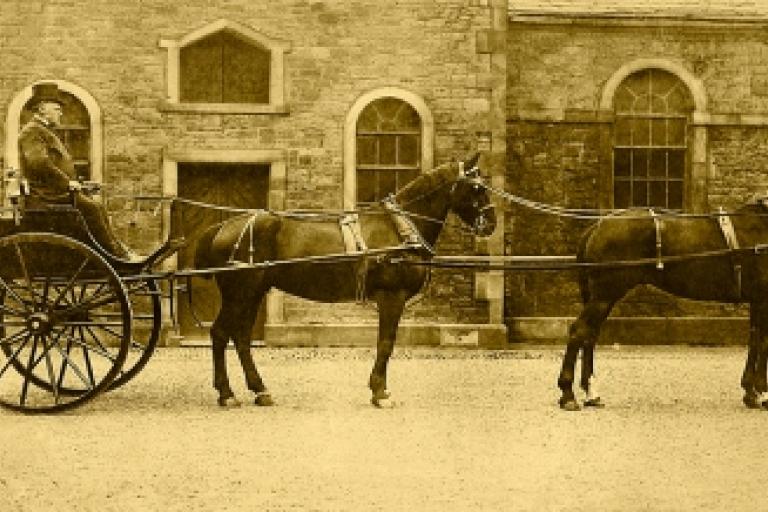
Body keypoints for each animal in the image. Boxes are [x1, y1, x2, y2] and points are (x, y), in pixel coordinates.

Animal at [194, 154, 498, 410]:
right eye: (477, 187)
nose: (491, 224)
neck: (400, 228)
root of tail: (223, 227)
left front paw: (379, 390)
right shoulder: (392, 296)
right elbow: (386, 342)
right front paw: (380, 392)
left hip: (253, 292)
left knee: (241, 337)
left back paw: (259, 390)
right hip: (240, 293)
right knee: (220, 333)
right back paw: (226, 393)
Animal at [560, 202, 768, 410]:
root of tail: (597, 226)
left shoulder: (757, 299)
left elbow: (755, 340)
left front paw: (751, 393)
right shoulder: (763, 299)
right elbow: (764, 342)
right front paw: (763, 393)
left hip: (602, 297)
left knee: (590, 334)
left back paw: (591, 393)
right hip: (605, 295)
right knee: (579, 330)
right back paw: (568, 394)